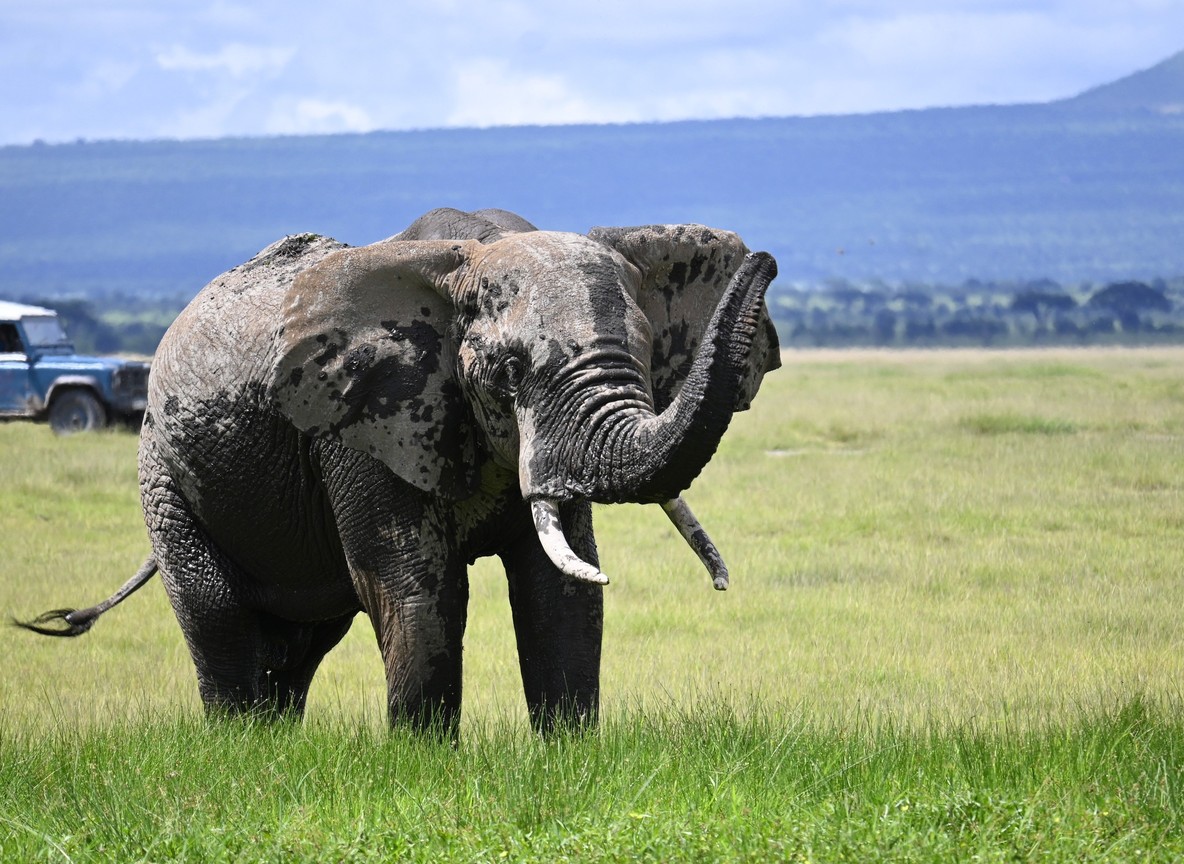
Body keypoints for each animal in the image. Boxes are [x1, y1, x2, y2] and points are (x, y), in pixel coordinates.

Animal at [17, 207, 780, 736]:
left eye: (650, 357)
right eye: (509, 371)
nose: (767, 259)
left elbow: (560, 585)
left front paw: (568, 756)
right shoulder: (358, 423)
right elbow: (415, 583)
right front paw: (423, 761)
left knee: (299, 641)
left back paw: (271, 749)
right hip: (163, 471)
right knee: (218, 615)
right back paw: (239, 750)